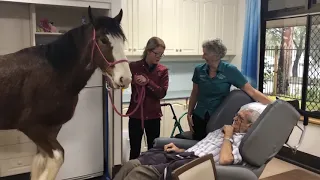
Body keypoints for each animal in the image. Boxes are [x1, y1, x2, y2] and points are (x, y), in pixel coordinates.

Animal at [0, 5, 132, 180]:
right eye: (103, 40)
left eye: (122, 40)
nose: (126, 78)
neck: (54, 73)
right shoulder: (31, 127)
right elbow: (58, 157)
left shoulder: (51, 130)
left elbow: (40, 162)